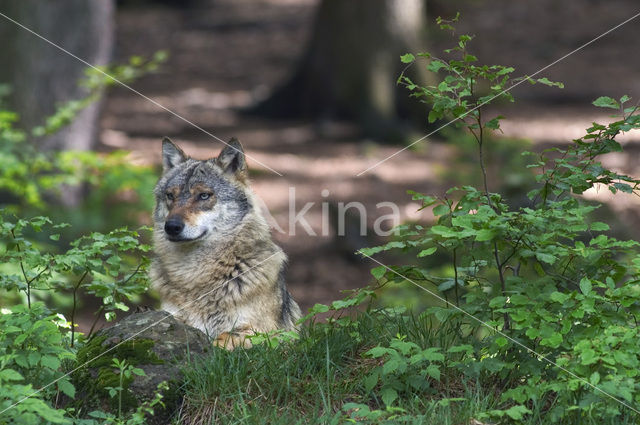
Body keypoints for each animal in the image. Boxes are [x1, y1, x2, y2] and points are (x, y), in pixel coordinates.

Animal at [151, 137, 302, 346]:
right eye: (170, 196)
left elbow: (224, 338)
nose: (171, 226)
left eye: (204, 195)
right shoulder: (171, 317)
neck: (194, 275)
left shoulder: (272, 333)